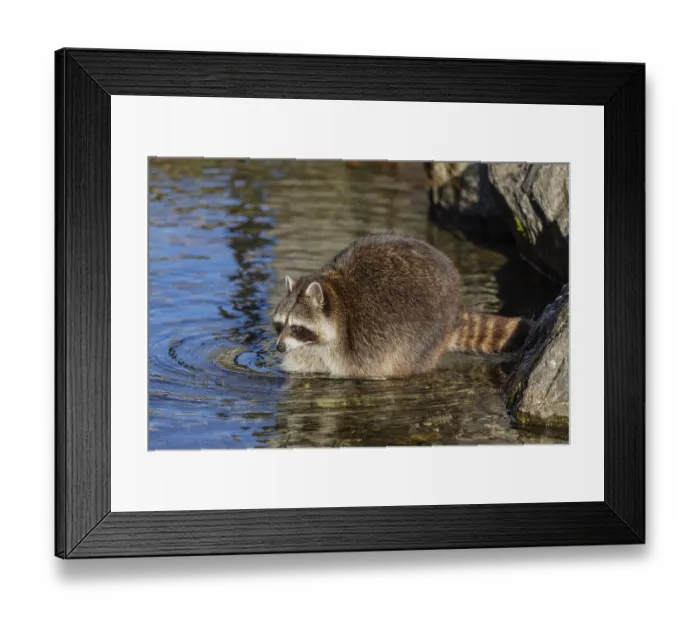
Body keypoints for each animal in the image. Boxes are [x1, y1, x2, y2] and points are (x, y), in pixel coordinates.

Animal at [272, 233, 533, 379]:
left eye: (297, 327)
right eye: (279, 325)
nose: (279, 347)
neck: (336, 296)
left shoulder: (356, 345)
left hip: (424, 333)